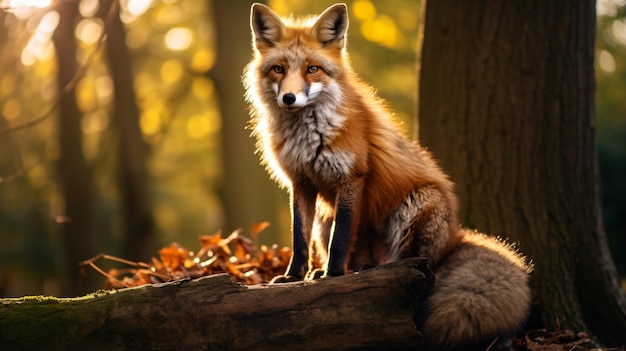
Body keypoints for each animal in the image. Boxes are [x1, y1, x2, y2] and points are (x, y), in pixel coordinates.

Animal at [244, 3, 532, 351]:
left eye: (313, 69)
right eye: (278, 69)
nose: (289, 98)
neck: (308, 135)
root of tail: (456, 235)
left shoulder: (351, 177)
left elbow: (341, 238)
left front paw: (332, 276)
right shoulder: (302, 182)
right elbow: (299, 237)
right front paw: (293, 277)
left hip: (416, 209)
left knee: (417, 269)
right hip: (326, 222)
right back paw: (360, 270)